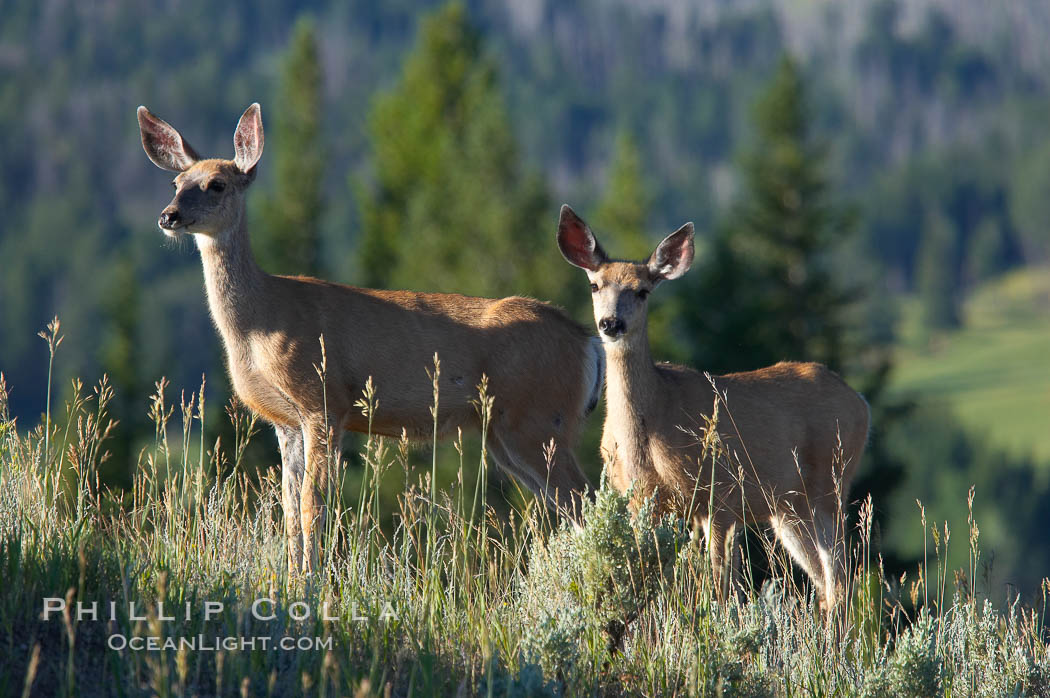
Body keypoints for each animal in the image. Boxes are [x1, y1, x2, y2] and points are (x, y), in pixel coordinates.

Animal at [137, 103, 609, 570]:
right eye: (176, 183)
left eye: (216, 184)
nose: (167, 216)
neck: (260, 323)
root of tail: (588, 343)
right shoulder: (285, 421)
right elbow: (287, 508)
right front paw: (291, 577)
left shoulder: (324, 401)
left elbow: (312, 504)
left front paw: (311, 579)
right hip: (507, 433)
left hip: (539, 419)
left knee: (588, 500)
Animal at [558, 204, 869, 608]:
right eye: (595, 285)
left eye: (642, 291)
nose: (611, 323)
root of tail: (861, 402)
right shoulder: (637, 499)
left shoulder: (718, 494)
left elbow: (720, 585)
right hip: (787, 507)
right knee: (824, 579)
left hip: (831, 482)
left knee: (840, 576)